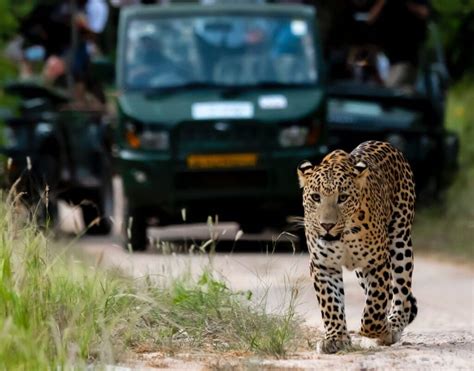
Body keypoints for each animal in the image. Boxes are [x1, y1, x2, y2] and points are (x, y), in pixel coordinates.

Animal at [298, 142, 416, 354]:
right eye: (316, 197)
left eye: (343, 197)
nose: (326, 225)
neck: (344, 236)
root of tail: (382, 142)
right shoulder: (323, 266)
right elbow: (331, 303)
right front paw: (335, 338)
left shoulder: (377, 262)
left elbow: (374, 307)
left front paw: (381, 329)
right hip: (361, 270)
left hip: (400, 241)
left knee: (400, 289)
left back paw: (394, 324)